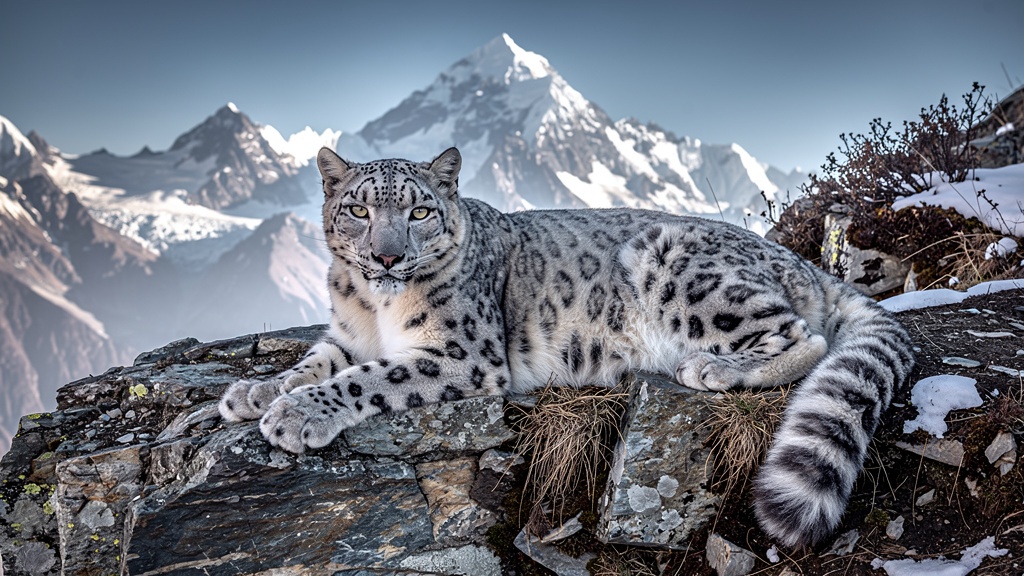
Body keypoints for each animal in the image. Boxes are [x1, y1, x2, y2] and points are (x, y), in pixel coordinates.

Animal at [219, 146, 915, 548]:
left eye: (419, 212)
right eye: (359, 210)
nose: (387, 257)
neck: (373, 304)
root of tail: (804, 262)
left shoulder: (463, 354)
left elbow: (366, 377)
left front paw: (296, 415)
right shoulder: (345, 334)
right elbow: (315, 362)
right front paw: (255, 392)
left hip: (684, 268)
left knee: (805, 336)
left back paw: (712, 367)